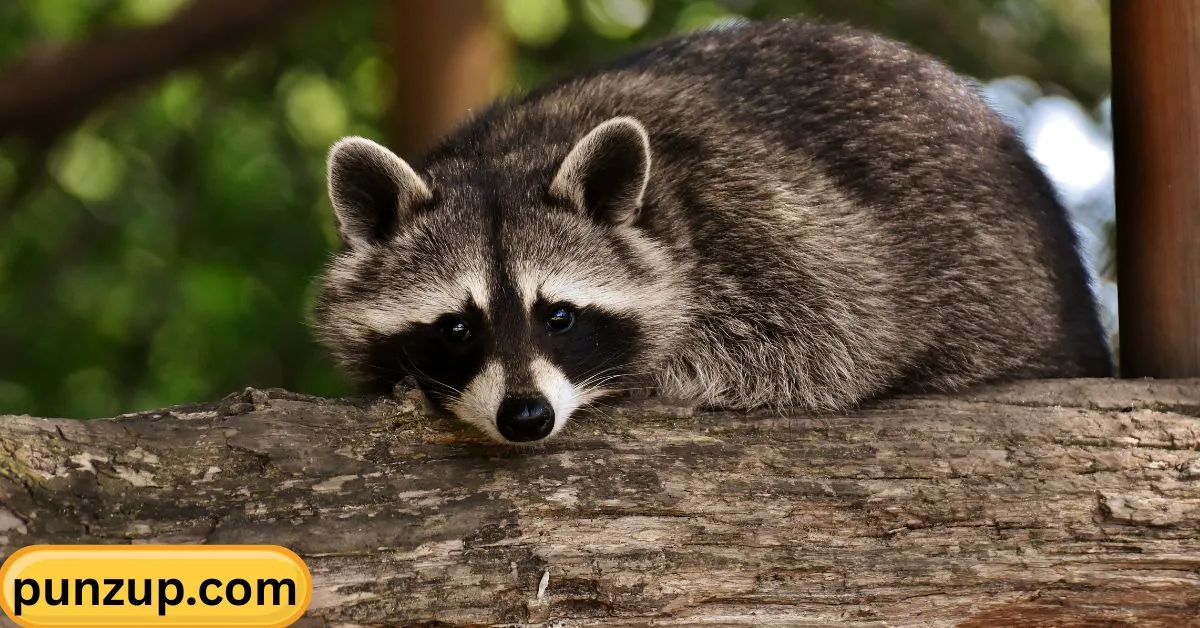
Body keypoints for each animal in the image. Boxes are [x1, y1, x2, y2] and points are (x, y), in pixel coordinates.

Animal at [313, 19, 1112, 444]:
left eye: (559, 316)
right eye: (455, 327)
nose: (527, 417)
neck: (511, 153)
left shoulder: (770, 223)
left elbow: (835, 339)